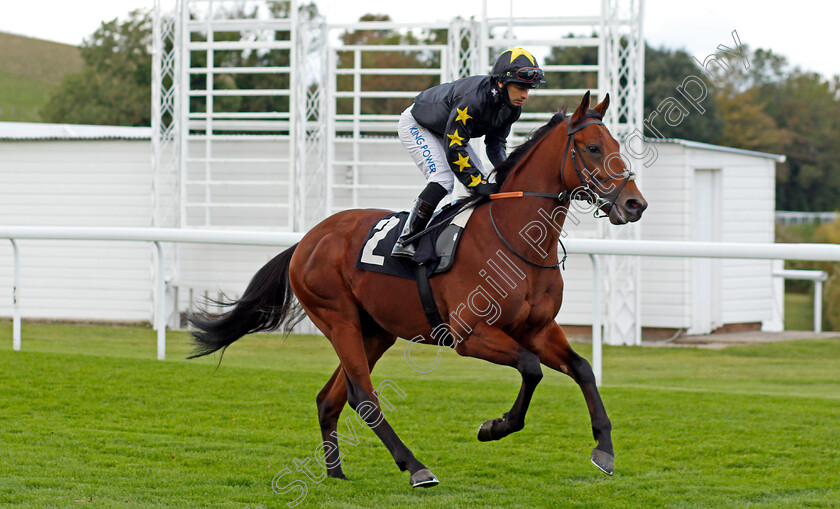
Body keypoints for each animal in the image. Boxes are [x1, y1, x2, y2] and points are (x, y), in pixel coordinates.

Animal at [190, 92, 648, 488]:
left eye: (616, 144)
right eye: (593, 148)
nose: (634, 204)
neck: (514, 240)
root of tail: (307, 240)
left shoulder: (538, 329)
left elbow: (583, 369)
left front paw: (604, 450)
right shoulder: (470, 335)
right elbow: (531, 368)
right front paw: (494, 427)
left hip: (375, 331)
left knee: (329, 398)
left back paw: (336, 474)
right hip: (338, 320)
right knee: (364, 397)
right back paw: (415, 467)